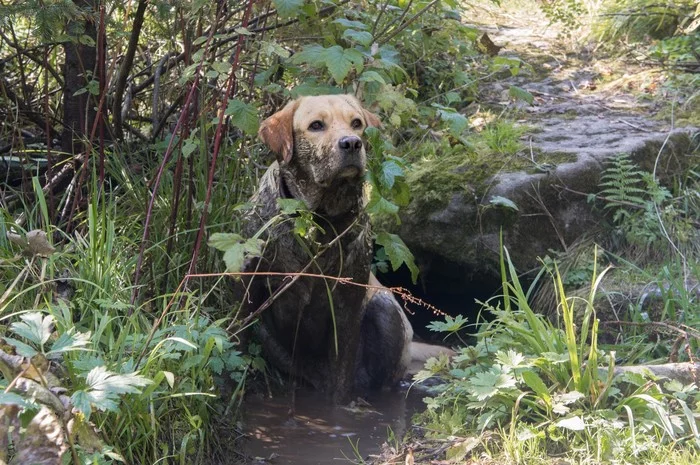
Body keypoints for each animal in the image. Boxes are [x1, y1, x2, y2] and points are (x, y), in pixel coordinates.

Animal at [242, 95, 416, 402]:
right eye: (316, 125)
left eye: (357, 123)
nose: (352, 143)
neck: (319, 221)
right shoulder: (250, 277)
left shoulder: (348, 303)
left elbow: (341, 375)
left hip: (386, 310)